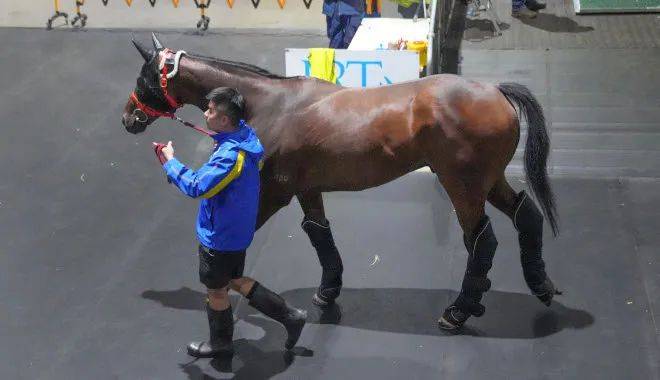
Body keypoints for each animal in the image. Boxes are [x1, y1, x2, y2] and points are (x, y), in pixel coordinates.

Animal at [121, 33, 560, 330]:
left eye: (143, 78)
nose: (129, 118)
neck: (269, 105)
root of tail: (496, 90)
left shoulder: (273, 192)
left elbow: (242, 239)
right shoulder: (306, 188)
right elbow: (319, 233)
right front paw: (328, 290)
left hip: (463, 186)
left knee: (481, 240)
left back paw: (459, 311)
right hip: (489, 181)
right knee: (526, 215)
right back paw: (541, 285)